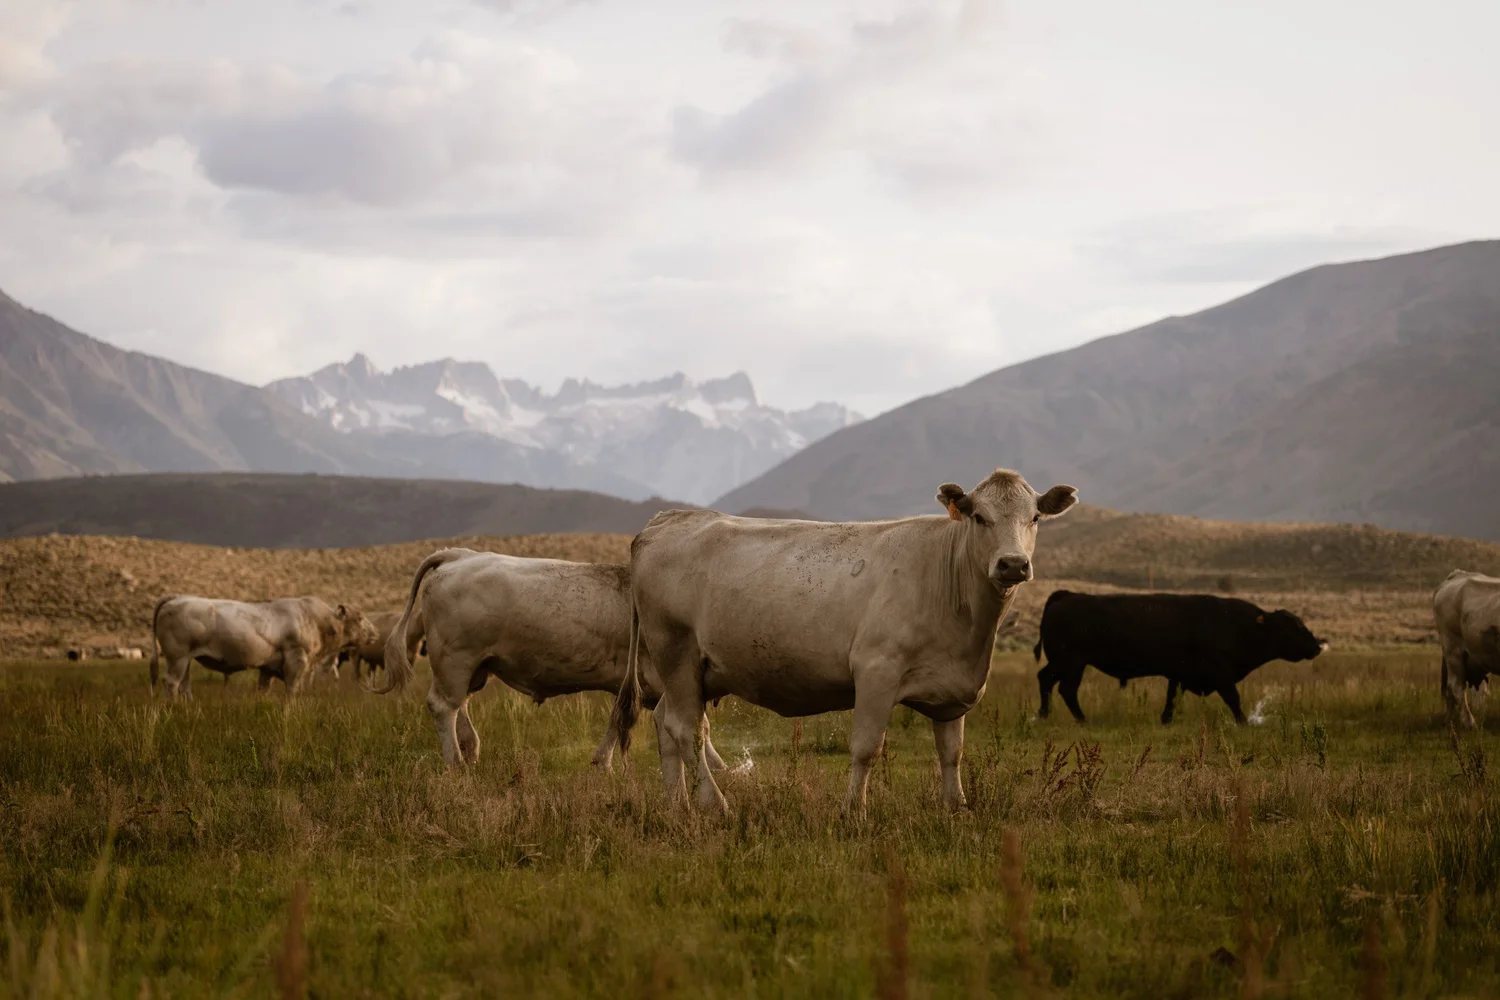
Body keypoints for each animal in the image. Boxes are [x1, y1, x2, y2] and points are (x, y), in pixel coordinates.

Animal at [150, 595, 378, 698]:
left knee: (184, 684)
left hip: (186, 660)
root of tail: (176, 598)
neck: (317, 620)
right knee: (171, 683)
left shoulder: (267, 668)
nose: (375, 632)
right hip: (177, 658)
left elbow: (263, 689)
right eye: (359, 617)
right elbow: (292, 691)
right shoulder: (296, 661)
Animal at [373, 548, 728, 772]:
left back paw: (469, 751)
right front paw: (721, 767)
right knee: (443, 707)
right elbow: (699, 726)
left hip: (472, 668)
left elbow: (616, 719)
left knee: (460, 707)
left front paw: (602, 762)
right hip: (455, 660)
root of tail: (459, 555)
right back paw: (455, 762)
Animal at [607, 468, 1077, 813]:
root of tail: (665, 521)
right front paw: (854, 811)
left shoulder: (951, 688)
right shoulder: (876, 671)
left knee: (666, 723)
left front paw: (957, 808)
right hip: (676, 652)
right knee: (686, 730)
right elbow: (866, 748)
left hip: (694, 672)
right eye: (980, 517)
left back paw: (677, 806)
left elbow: (952, 752)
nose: (1013, 564)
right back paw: (714, 804)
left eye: (1035, 517)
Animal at [1032, 590, 1328, 725]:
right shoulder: (1220, 673)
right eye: (1293, 626)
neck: (1233, 624)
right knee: (1062, 687)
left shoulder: (1179, 673)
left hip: (1068, 663)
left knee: (1051, 682)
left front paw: (1165, 720)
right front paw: (1243, 722)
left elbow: (1171, 698)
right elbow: (1233, 698)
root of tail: (1067, 595)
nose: (1317, 645)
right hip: (1071, 662)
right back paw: (1074, 718)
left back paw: (1050, 716)